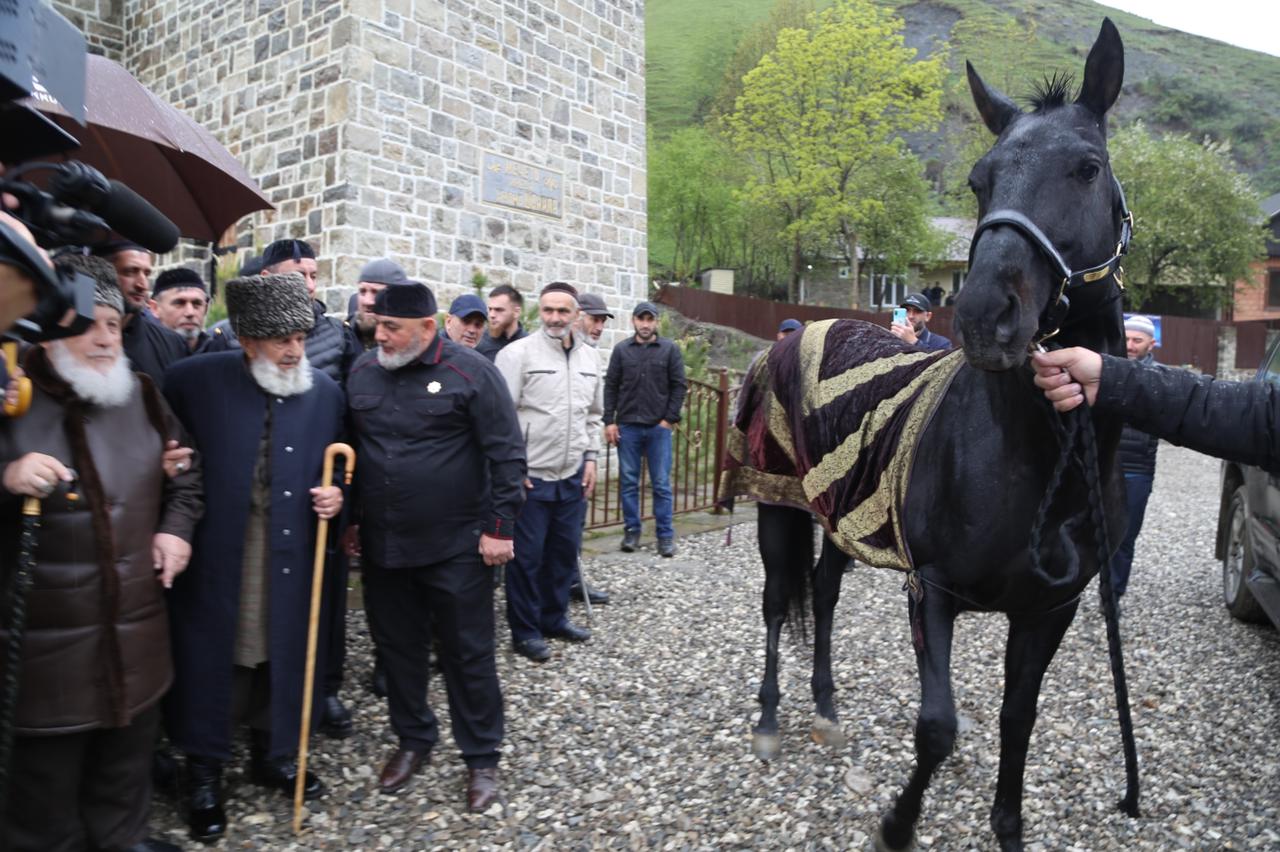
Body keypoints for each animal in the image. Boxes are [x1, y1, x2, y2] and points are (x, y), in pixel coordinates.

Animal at [742, 19, 1141, 849]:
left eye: (1086, 168)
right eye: (979, 182)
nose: (988, 314)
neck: (1032, 466)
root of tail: (795, 332)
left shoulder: (1049, 612)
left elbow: (1018, 719)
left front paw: (1007, 823)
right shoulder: (931, 591)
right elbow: (937, 727)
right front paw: (898, 822)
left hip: (840, 513)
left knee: (822, 594)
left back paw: (826, 710)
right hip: (777, 507)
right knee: (776, 601)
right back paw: (769, 720)